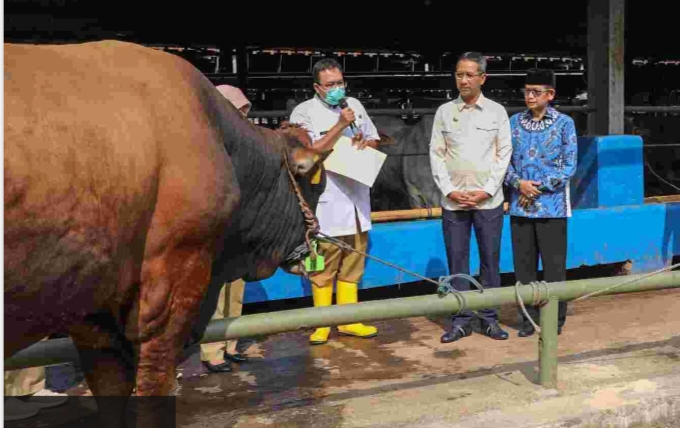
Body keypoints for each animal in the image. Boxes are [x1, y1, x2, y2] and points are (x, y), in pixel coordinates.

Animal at [3, 40, 326, 424]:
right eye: (317, 185)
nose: (315, 240)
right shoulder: (171, 285)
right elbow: (154, 387)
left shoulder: (92, 304)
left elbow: (110, 387)